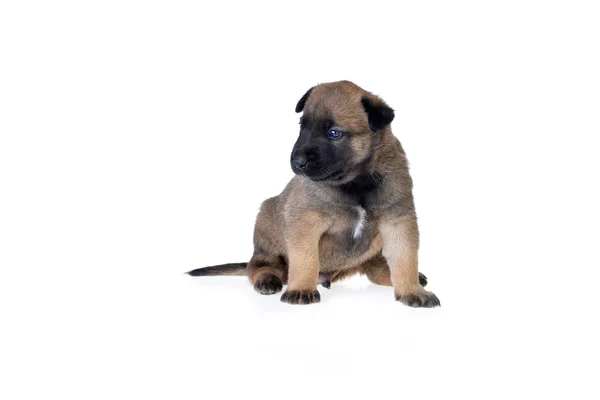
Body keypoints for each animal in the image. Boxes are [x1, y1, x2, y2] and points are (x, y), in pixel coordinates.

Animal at [188, 79, 440, 308]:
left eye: (334, 133)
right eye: (303, 126)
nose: (297, 161)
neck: (356, 183)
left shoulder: (398, 220)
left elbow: (405, 259)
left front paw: (411, 291)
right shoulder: (306, 222)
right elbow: (305, 259)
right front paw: (300, 288)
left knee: (377, 270)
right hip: (266, 225)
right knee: (259, 266)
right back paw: (267, 279)